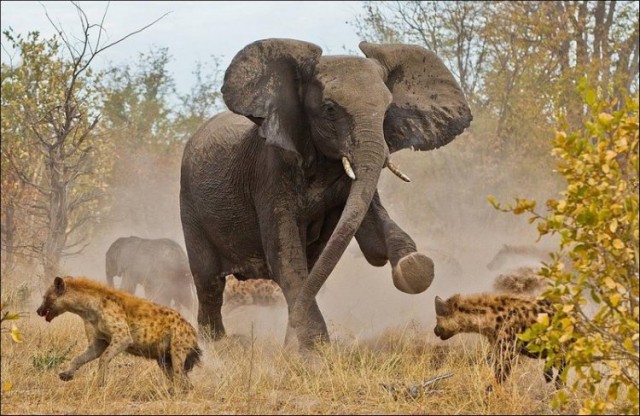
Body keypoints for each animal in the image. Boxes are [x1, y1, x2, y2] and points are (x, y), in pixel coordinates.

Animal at [179, 38, 470, 352]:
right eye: (330, 109)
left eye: (387, 110)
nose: (285, 345)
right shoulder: (270, 172)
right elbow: (284, 256)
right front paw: (314, 352)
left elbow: (371, 236)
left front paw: (413, 266)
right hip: (190, 204)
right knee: (209, 281)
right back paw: (216, 346)